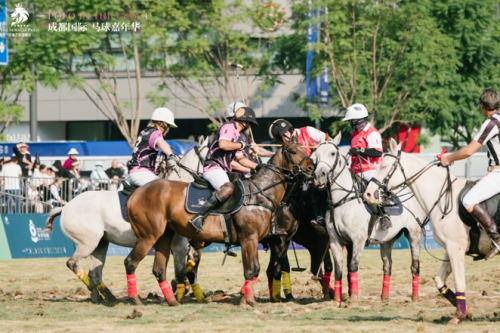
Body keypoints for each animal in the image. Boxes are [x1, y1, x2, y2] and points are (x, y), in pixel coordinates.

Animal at [41, 136, 209, 302]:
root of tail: (65, 207)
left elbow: (186, 264)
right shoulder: (178, 242)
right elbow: (181, 268)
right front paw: (181, 291)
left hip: (101, 243)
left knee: (94, 271)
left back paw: (105, 296)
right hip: (87, 242)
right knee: (73, 263)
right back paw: (96, 291)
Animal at [123, 141, 314, 304]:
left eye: (305, 149)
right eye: (293, 151)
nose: (311, 168)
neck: (259, 194)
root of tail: (135, 193)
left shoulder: (271, 240)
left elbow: (261, 270)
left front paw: (249, 297)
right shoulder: (252, 239)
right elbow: (253, 269)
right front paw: (248, 301)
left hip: (165, 236)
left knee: (160, 268)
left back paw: (173, 300)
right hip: (149, 236)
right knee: (131, 262)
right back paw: (136, 300)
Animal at [312, 132, 426, 306]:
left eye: (332, 153)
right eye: (316, 155)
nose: (319, 176)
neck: (342, 201)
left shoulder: (358, 240)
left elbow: (352, 267)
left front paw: (353, 300)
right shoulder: (335, 241)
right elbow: (339, 270)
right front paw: (336, 301)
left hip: (414, 234)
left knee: (415, 265)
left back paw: (415, 298)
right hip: (387, 240)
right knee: (387, 265)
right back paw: (384, 297)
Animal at [364, 139, 484, 322]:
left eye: (384, 166)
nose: (369, 194)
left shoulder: (455, 248)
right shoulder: (451, 248)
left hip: (413, 236)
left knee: (413, 266)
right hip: (388, 241)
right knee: (388, 265)